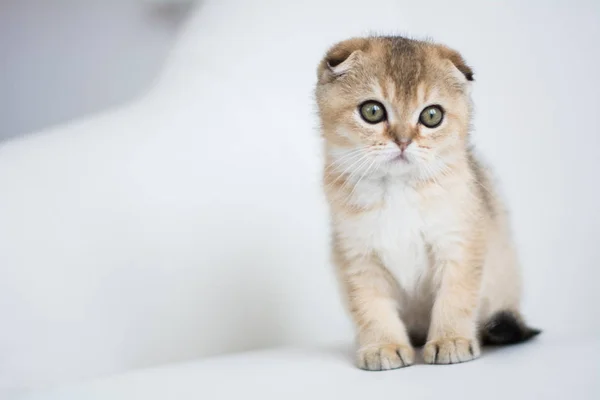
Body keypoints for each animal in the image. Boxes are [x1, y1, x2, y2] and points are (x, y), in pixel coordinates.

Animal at [314, 36, 540, 368]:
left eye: (431, 116)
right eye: (372, 111)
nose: (403, 141)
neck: (397, 190)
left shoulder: (460, 244)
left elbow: (455, 297)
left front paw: (451, 340)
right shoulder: (357, 258)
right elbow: (371, 308)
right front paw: (383, 345)